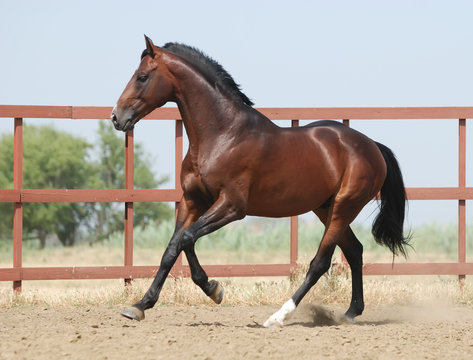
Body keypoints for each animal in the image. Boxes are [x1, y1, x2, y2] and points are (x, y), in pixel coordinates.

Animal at [110, 35, 410, 326]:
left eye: (142, 77)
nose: (116, 117)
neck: (222, 135)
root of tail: (371, 146)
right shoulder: (192, 201)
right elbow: (173, 248)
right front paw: (139, 306)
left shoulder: (232, 207)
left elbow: (186, 238)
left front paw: (214, 289)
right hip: (327, 208)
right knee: (355, 251)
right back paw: (350, 312)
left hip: (344, 208)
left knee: (320, 263)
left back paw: (279, 316)